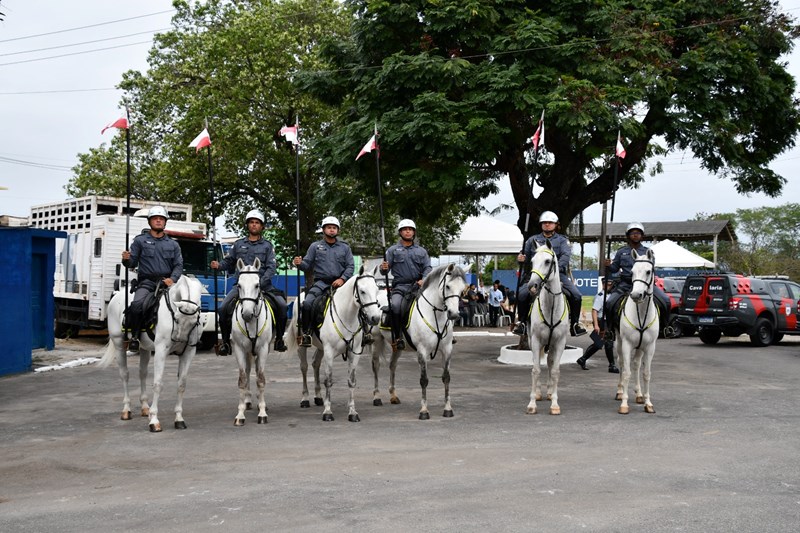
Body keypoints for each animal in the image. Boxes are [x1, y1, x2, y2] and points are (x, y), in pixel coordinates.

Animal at [98, 276, 203, 430]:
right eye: (177, 318)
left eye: (194, 321)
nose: (180, 339)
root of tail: (116, 295)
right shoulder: (161, 351)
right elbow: (158, 384)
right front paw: (154, 420)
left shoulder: (188, 353)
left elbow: (181, 384)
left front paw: (179, 418)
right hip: (119, 344)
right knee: (124, 374)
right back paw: (126, 410)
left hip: (145, 349)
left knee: (142, 373)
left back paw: (144, 407)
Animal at [230, 256, 274, 424]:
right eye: (239, 285)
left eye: (257, 285)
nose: (247, 314)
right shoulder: (239, 349)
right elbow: (242, 379)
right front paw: (240, 414)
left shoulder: (263, 349)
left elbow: (260, 379)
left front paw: (262, 413)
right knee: (248, 370)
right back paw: (248, 400)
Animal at [286, 264, 382, 422]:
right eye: (362, 291)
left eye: (377, 290)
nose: (375, 318)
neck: (346, 315)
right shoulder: (329, 352)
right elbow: (329, 380)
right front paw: (328, 412)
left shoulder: (354, 353)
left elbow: (351, 381)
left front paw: (352, 412)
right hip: (303, 345)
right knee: (304, 367)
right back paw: (305, 398)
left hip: (321, 348)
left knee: (315, 363)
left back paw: (318, 397)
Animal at [524, 239, 568, 414]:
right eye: (532, 261)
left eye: (548, 261)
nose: (532, 286)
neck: (551, 307)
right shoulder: (536, 341)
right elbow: (535, 370)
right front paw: (532, 403)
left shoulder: (560, 342)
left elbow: (555, 370)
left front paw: (555, 404)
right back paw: (538, 393)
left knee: (550, 362)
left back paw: (549, 392)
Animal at [616, 249, 660, 416]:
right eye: (632, 272)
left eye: (648, 271)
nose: (636, 295)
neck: (641, 314)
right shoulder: (627, 344)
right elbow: (626, 373)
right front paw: (624, 404)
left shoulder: (650, 347)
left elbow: (646, 373)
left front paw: (648, 403)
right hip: (618, 342)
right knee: (622, 363)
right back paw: (620, 392)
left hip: (640, 347)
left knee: (636, 365)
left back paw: (639, 394)